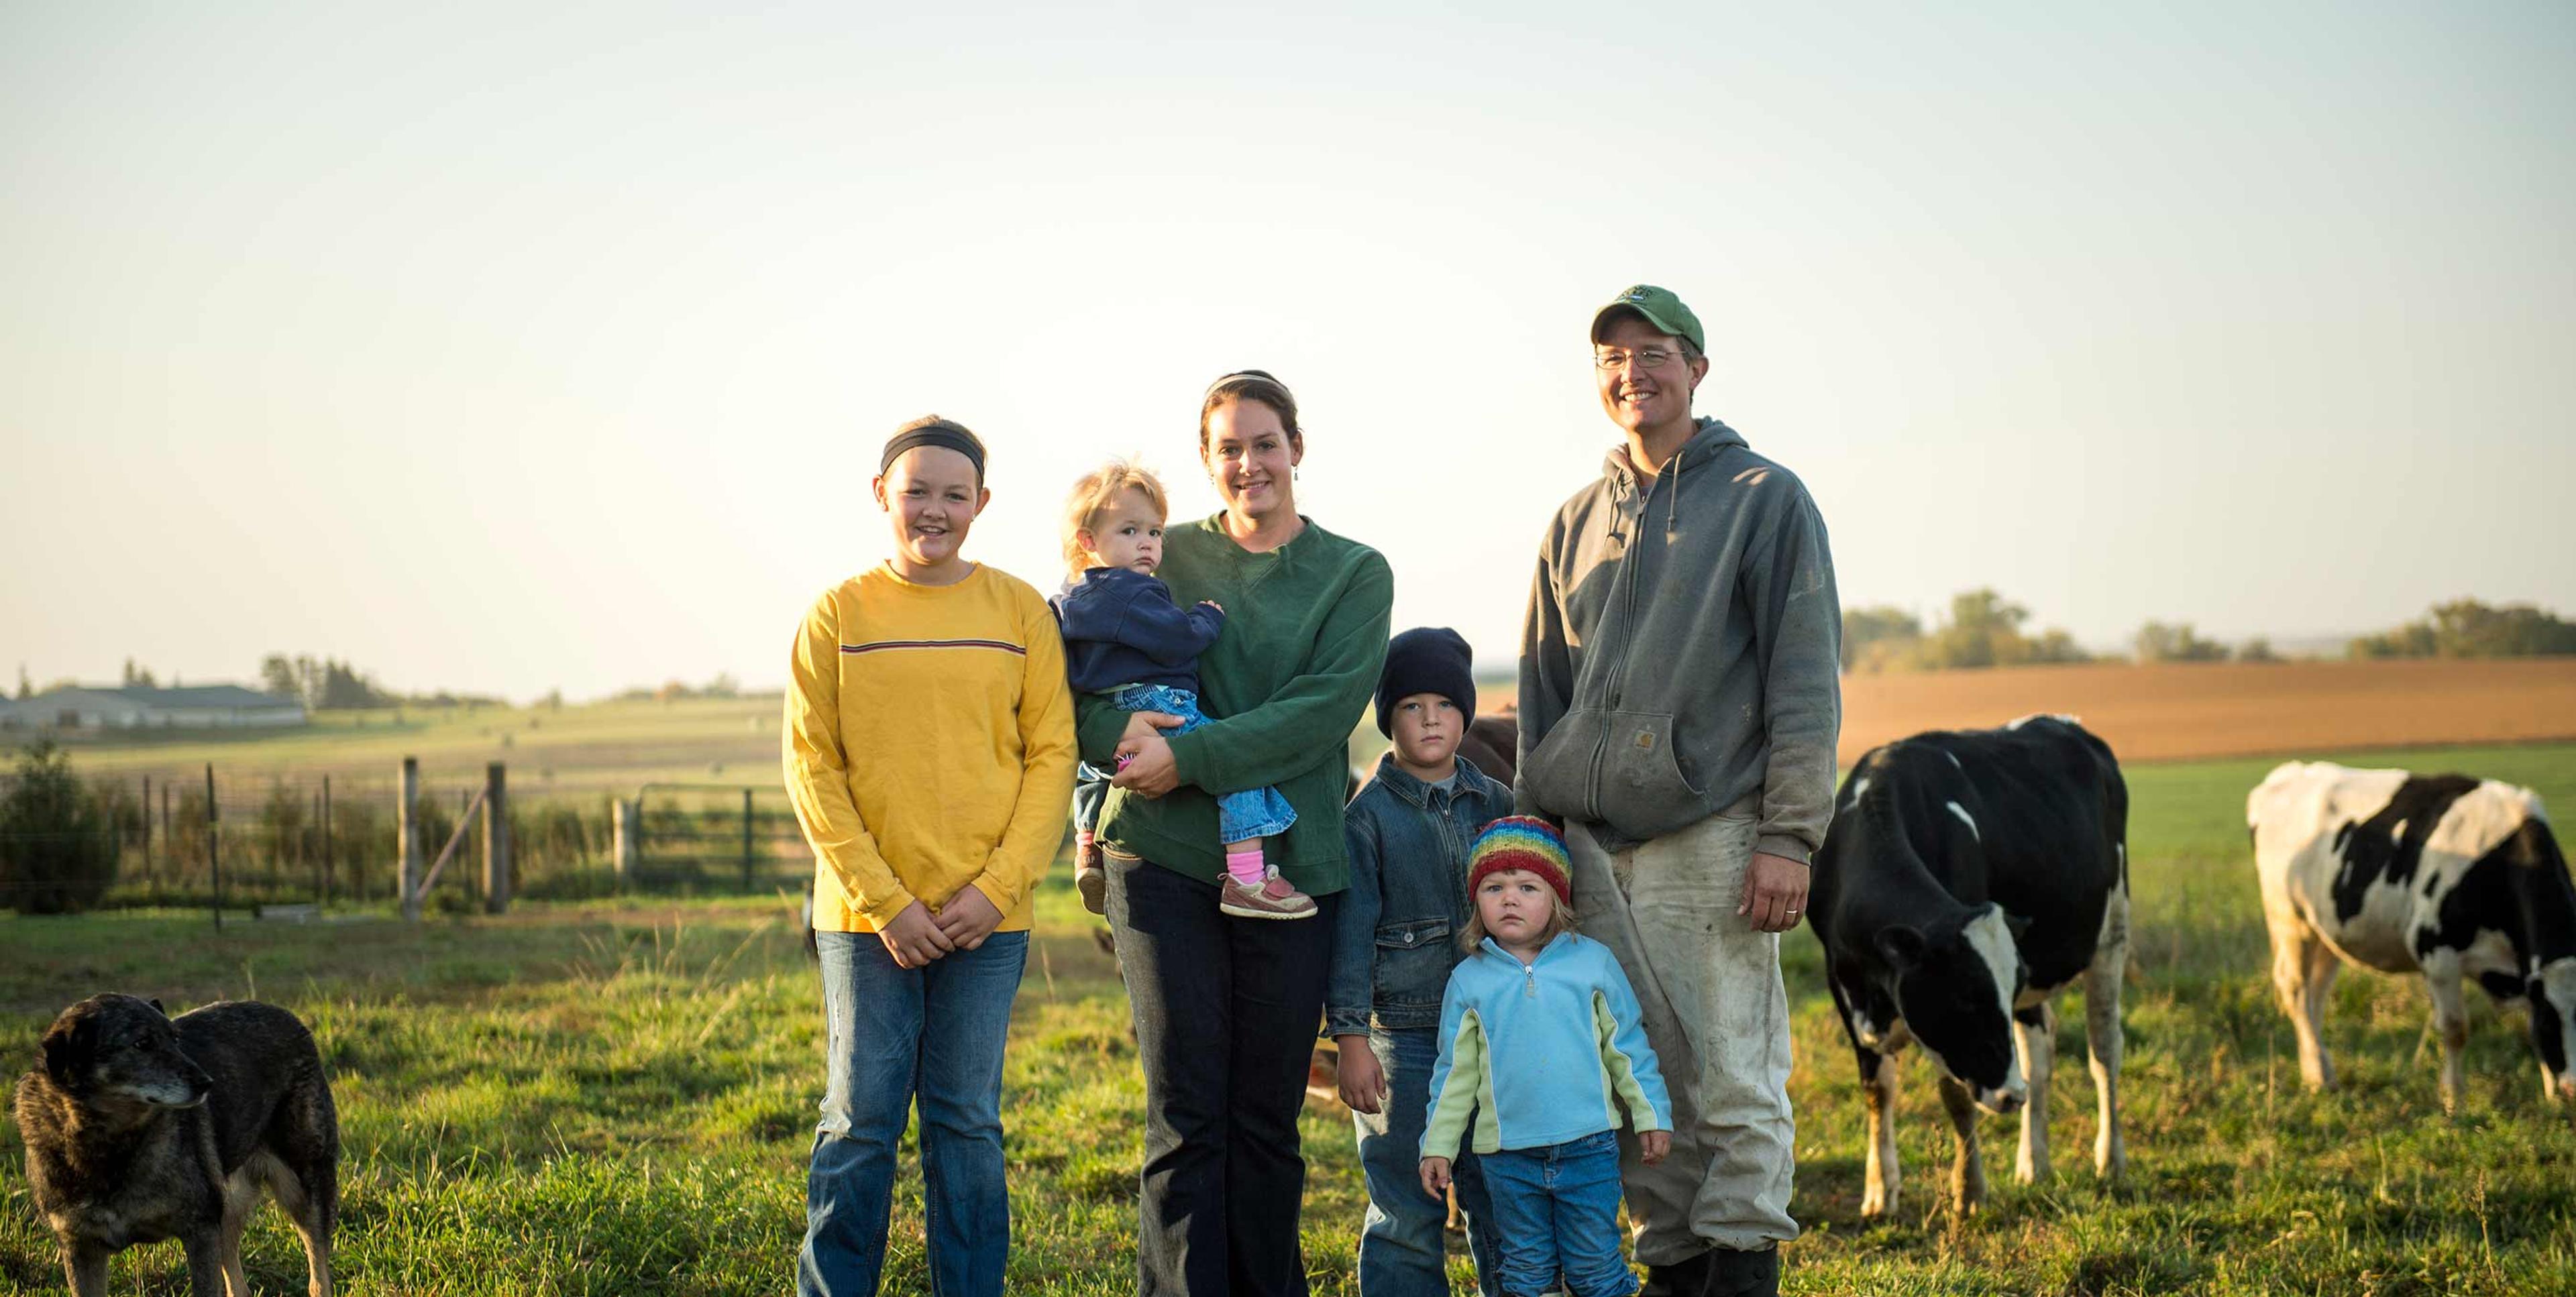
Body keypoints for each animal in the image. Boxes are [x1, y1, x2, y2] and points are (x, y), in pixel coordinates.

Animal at [13, 998, 337, 1292]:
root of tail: (290, 1017)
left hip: (303, 1192)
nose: (207, 1083)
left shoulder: (201, 1231)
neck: (108, 1150)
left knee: (318, 1274)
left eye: (176, 1039)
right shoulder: (80, 1249)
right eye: (142, 1043)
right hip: (229, 1207)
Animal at [1803, 715, 2123, 1219]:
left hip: (2112, 934)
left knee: (2105, 1053)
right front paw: (1880, 1192)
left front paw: (1970, 1191)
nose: (2010, 1096)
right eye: (1965, 998)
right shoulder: (1844, 985)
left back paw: (2110, 1160)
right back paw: (2034, 1164)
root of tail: (2065, 724)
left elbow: (1955, 1097)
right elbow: (1877, 1090)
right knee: (2038, 1057)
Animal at [2236, 767, 2576, 1111]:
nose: (2573, 1090)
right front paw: (2454, 1100)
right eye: (2551, 1023)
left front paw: (2550, 1097)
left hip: (2325, 932)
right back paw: (2318, 1077)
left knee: (2315, 996)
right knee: (2296, 992)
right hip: (2290, 919)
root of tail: (2290, 771)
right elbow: (2456, 1029)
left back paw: (2320, 1074)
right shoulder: (2435, 952)